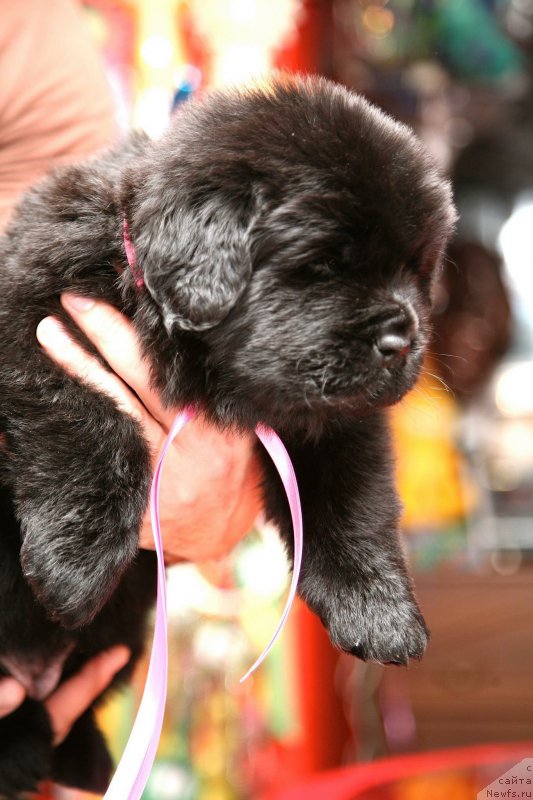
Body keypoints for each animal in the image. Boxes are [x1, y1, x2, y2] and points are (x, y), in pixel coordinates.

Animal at [0, 73, 456, 792]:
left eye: (418, 268)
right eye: (324, 266)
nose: (401, 341)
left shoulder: (334, 422)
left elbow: (353, 507)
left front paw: (379, 612)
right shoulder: (37, 328)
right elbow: (91, 423)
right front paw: (74, 563)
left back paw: (76, 757)